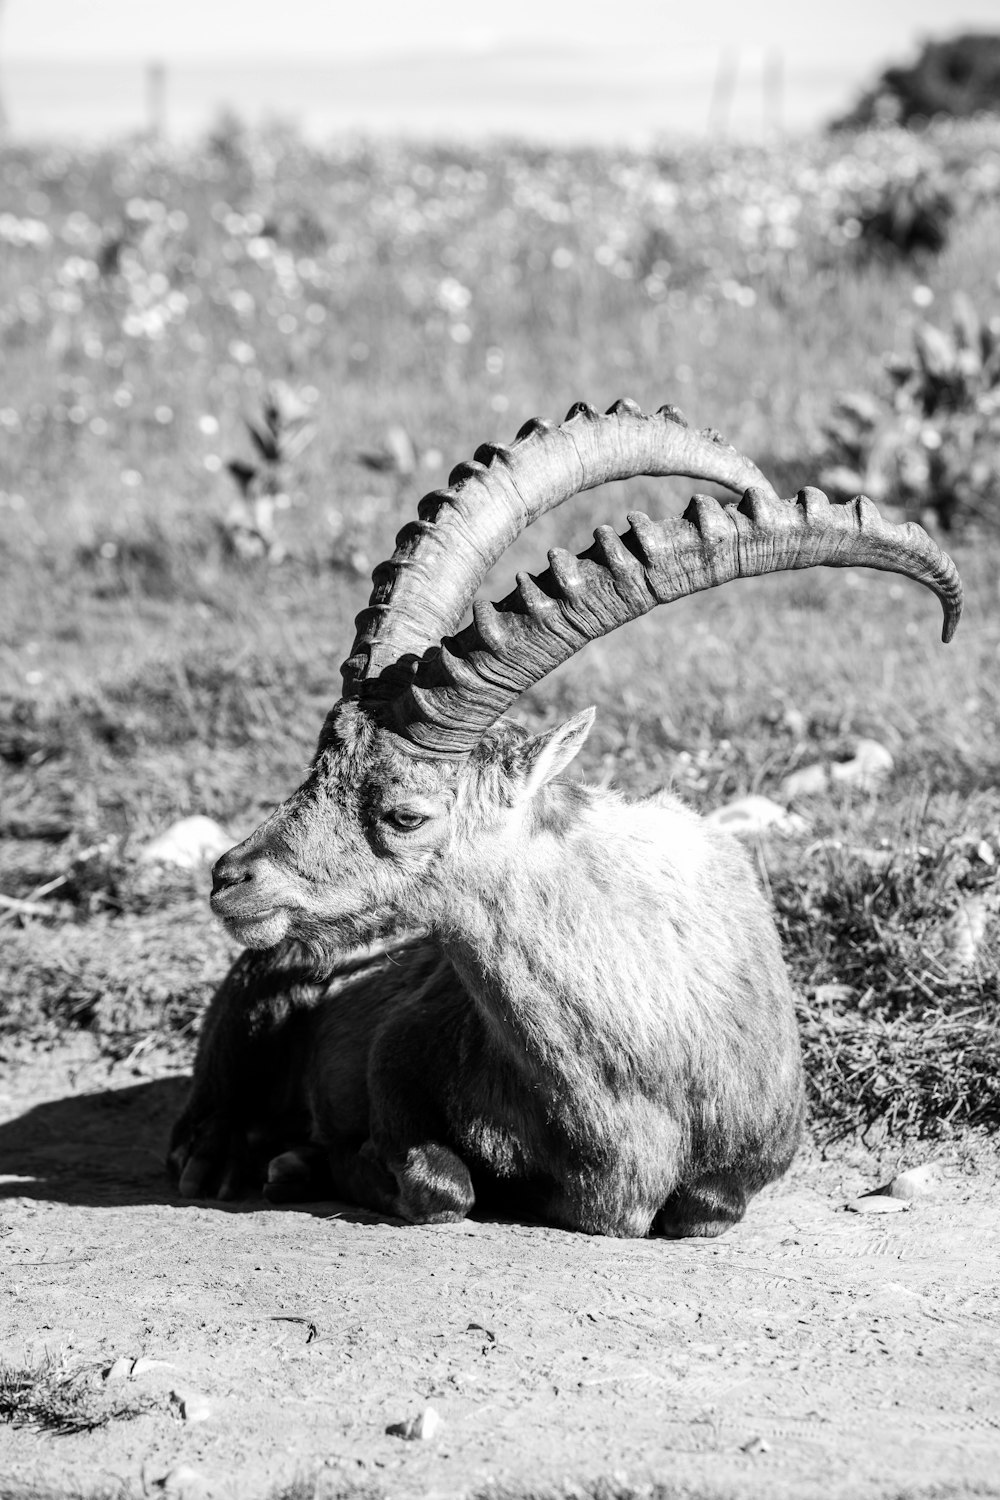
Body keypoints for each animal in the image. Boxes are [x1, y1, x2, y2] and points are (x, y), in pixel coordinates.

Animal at [170, 402, 959, 1242]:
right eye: (317, 765)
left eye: (406, 814)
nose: (231, 877)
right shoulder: (396, 1056)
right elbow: (444, 1186)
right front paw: (325, 1164)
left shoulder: (753, 1155)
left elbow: (704, 1207)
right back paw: (230, 1158)